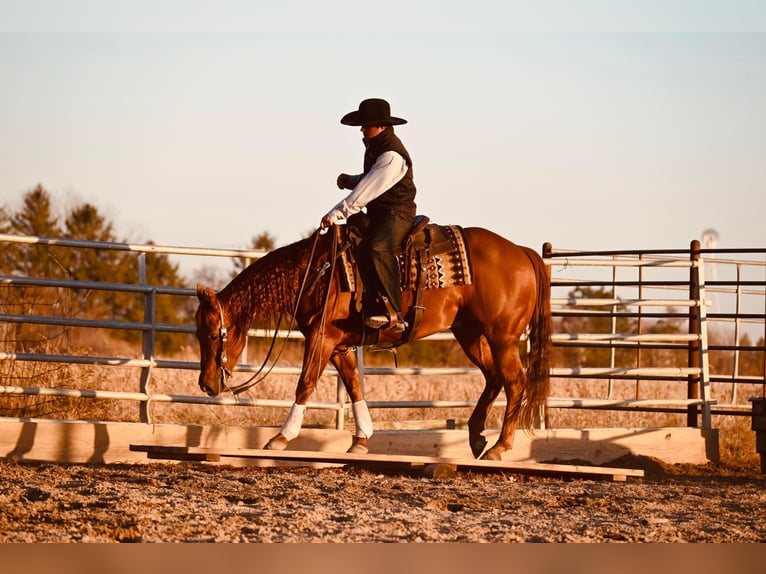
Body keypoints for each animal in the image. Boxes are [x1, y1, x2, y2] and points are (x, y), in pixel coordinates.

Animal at [194, 225, 552, 464]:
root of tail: (523, 252)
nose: (207, 384)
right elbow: (355, 387)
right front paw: (360, 441)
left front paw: (280, 438)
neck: (316, 274)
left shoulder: (321, 339)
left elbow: (305, 384)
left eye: (211, 334)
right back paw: (477, 436)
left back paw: (499, 447)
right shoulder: (339, 347)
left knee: (514, 382)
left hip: (502, 338)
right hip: (470, 334)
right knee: (493, 378)